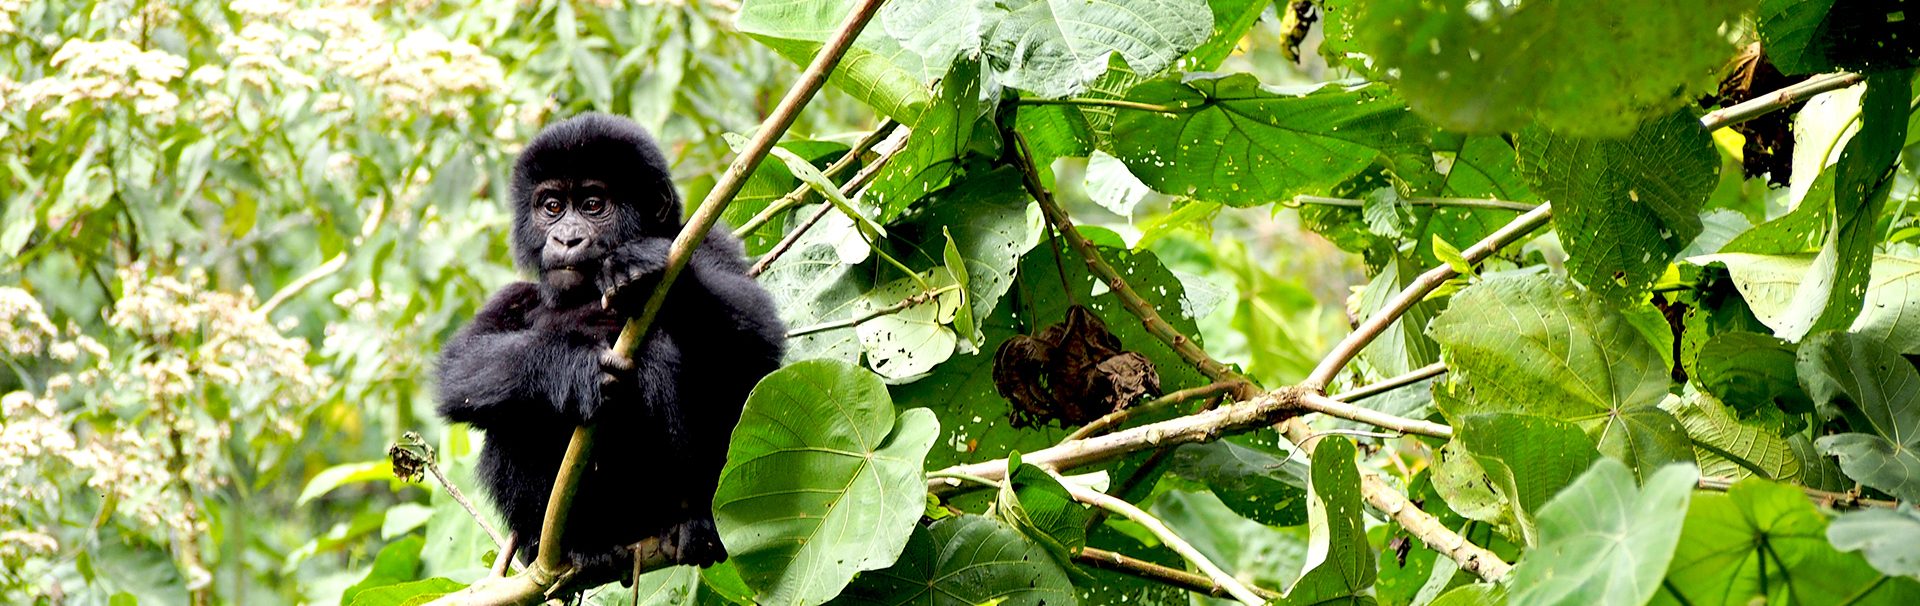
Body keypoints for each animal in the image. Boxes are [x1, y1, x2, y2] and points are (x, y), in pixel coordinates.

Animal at [439, 112, 783, 582]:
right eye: (552, 207)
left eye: (592, 205)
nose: (566, 239)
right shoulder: (515, 296)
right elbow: (459, 371)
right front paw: (572, 371)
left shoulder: (709, 241)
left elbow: (759, 344)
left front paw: (644, 273)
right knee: (510, 414)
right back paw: (578, 545)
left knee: (661, 351)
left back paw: (692, 519)